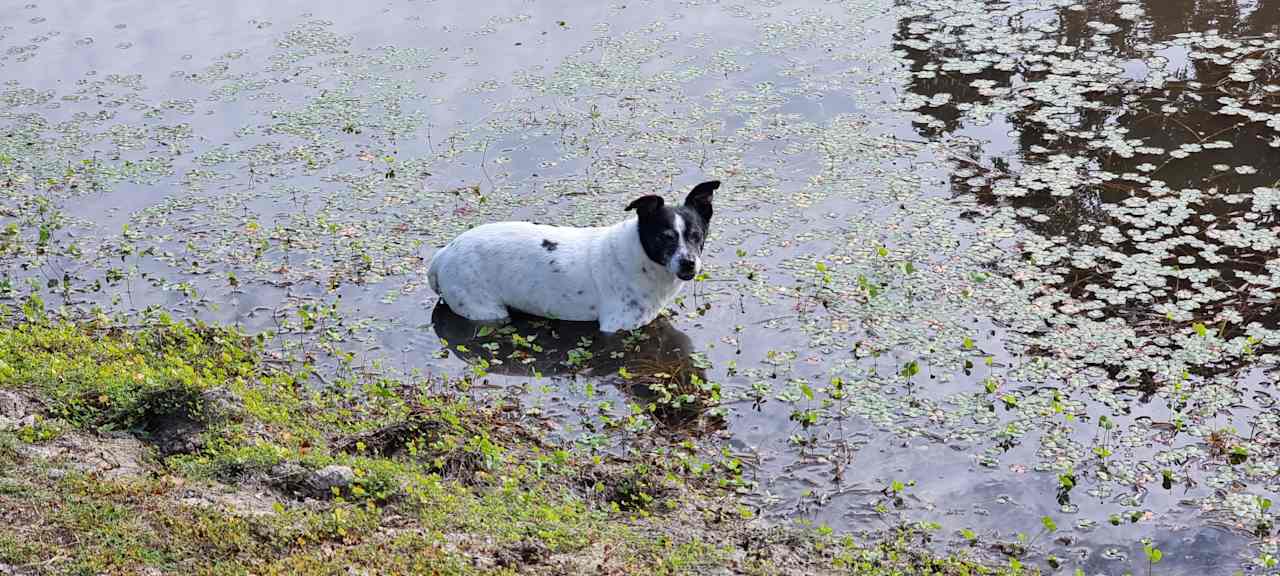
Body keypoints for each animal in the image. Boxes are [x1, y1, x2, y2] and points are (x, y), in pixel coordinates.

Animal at [424, 180, 716, 332]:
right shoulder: (617, 325)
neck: (643, 259)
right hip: (483, 308)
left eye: (696, 235)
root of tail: (443, 254)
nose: (689, 263)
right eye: (664, 237)